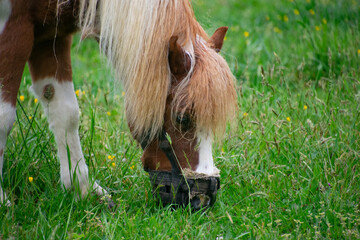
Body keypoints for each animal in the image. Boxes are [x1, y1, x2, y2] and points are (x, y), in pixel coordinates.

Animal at [0, 0, 238, 206]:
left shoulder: (52, 37)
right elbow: (4, 118)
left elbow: (66, 113)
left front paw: (82, 189)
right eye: (181, 118)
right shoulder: (14, 30)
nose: (204, 197)